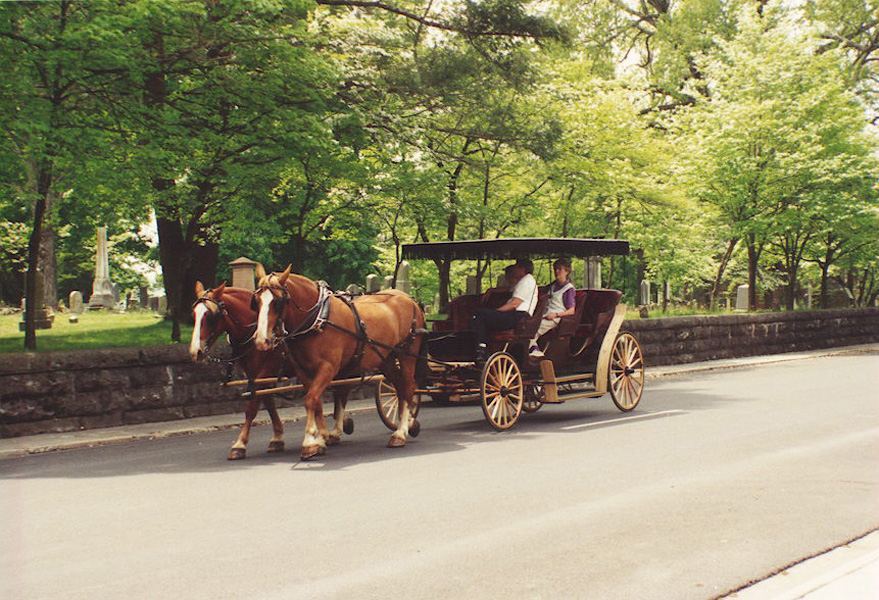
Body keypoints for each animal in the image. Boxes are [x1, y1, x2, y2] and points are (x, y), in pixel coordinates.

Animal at [189, 284, 288, 462]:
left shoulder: (267, 368)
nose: (196, 352)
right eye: (193, 314)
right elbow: (268, 401)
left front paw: (239, 444)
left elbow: (252, 407)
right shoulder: (253, 373)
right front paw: (277, 438)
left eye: (210, 316)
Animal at [251, 264, 426, 460]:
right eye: (256, 301)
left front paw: (309, 442)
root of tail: (410, 299)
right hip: (385, 359)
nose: (262, 340)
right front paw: (320, 439)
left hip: (406, 354)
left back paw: (401, 432)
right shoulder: (304, 372)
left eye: (278, 301)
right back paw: (406, 426)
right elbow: (316, 402)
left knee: (408, 387)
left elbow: (310, 400)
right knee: (399, 388)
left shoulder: (328, 368)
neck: (318, 319)